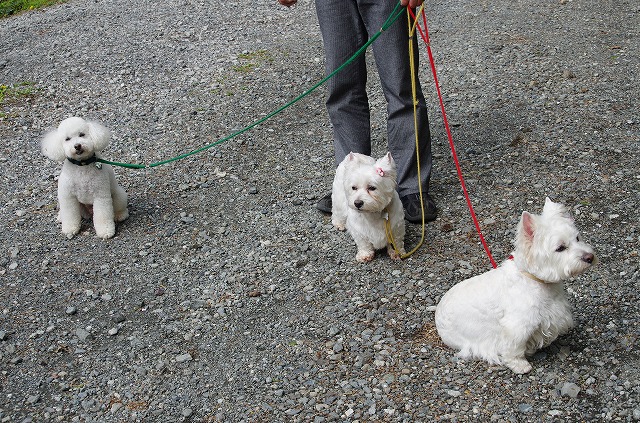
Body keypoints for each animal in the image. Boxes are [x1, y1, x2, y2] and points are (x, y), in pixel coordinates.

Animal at [436, 199, 596, 374]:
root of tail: (438, 314)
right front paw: (520, 365)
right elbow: (514, 348)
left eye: (577, 238)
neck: (536, 281)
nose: (590, 257)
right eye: (560, 248)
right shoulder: (518, 326)